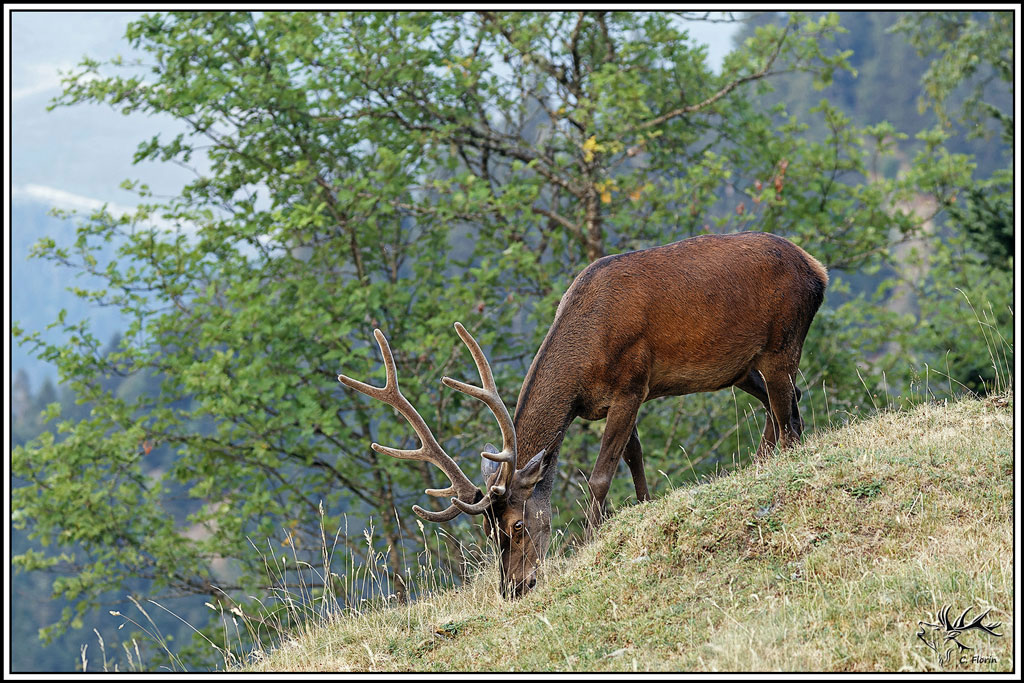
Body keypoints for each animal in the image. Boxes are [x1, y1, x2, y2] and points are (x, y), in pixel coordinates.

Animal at [338, 231, 828, 599]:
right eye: (489, 534)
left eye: (517, 526)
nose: (513, 588)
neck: (583, 363)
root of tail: (818, 269)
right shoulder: (617, 400)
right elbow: (634, 456)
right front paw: (643, 506)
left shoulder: (632, 382)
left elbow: (599, 475)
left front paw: (592, 537)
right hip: (742, 365)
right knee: (787, 403)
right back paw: (763, 459)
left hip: (783, 339)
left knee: (787, 412)